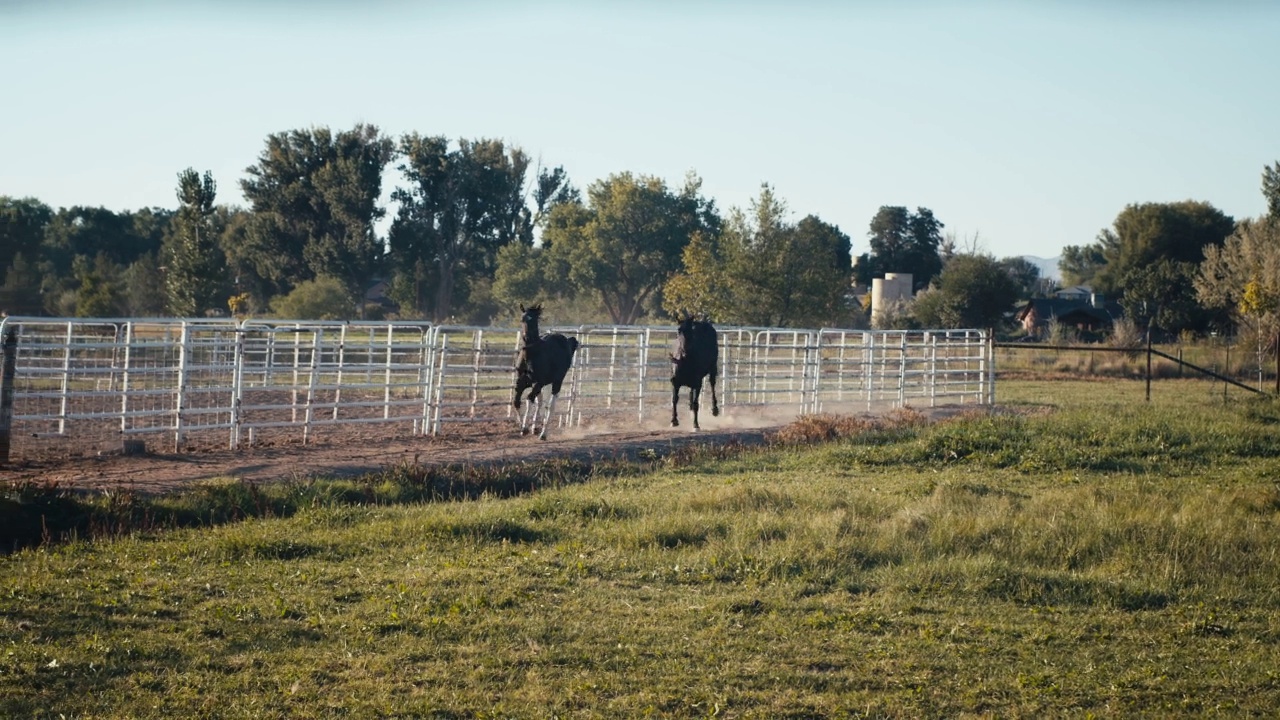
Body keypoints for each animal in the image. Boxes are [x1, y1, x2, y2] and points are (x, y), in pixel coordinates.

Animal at [514, 301, 586, 438]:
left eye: (533, 320)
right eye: (522, 319)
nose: (526, 338)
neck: (531, 354)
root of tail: (567, 340)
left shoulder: (539, 382)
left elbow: (529, 399)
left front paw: (525, 428)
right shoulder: (522, 382)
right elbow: (517, 401)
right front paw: (522, 427)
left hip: (556, 382)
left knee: (550, 406)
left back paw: (543, 434)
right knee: (541, 402)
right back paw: (536, 428)